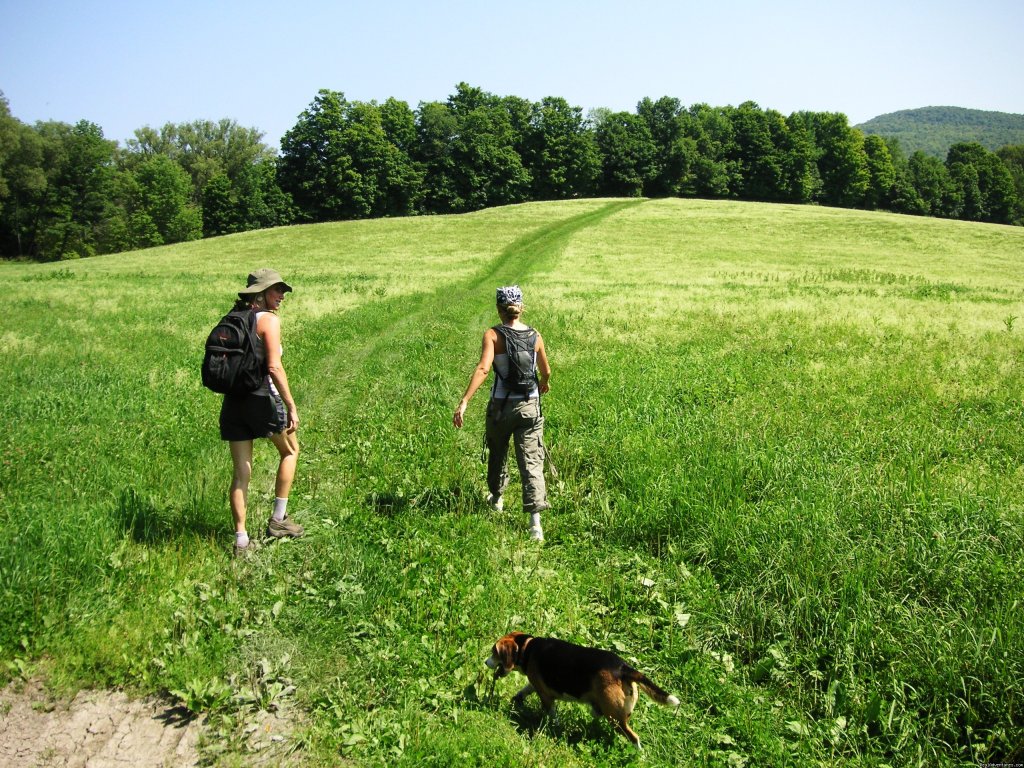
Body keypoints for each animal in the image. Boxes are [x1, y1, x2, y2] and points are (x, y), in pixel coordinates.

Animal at [487, 630, 679, 753]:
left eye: (494, 652)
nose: (485, 662)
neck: (527, 647)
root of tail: (623, 668)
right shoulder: (537, 684)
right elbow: (525, 689)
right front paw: (517, 699)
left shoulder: (545, 695)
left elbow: (552, 714)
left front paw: (554, 728)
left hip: (615, 718)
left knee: (634, 738)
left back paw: (639, 756)